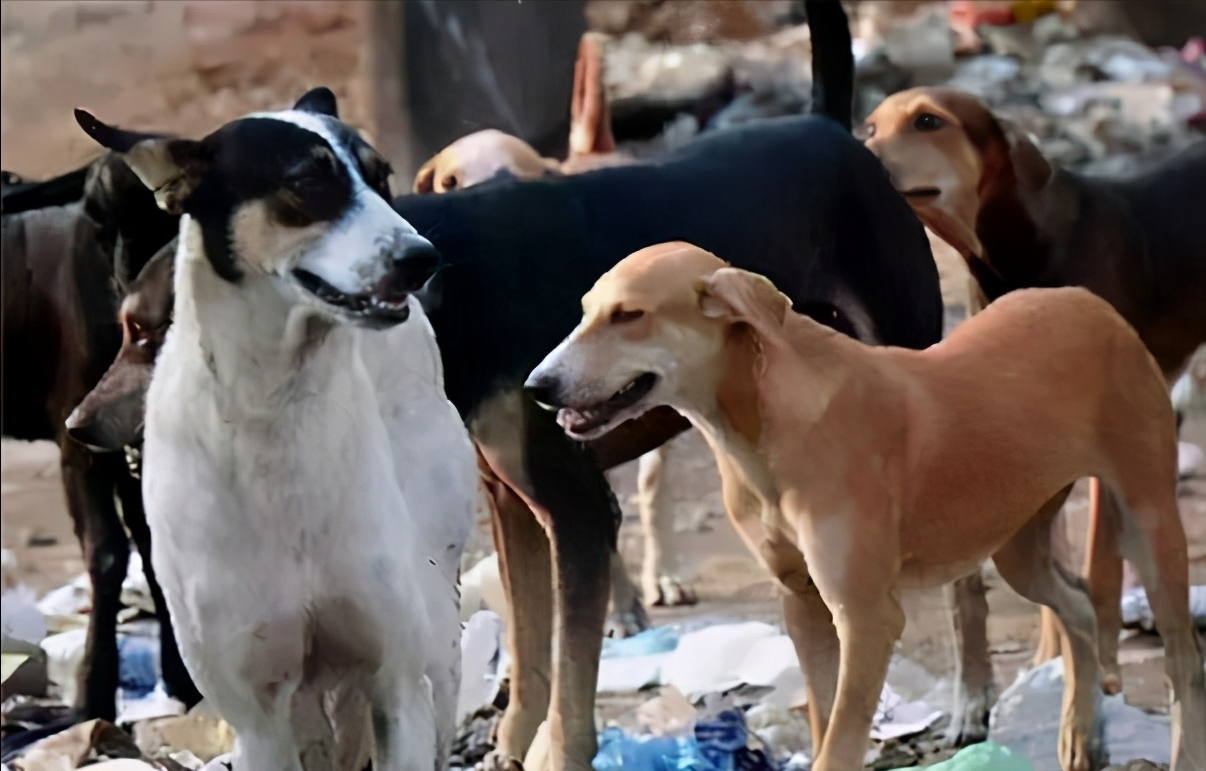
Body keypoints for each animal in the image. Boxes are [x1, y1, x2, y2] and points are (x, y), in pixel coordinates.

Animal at [74, 87, 479, 767]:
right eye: (306, 181)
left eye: (382, 179)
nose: (423, 257)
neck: (278, 408)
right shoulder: (258, 717)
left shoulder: (396, 688)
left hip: (435, 637)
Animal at [530, 241, 1206, 771]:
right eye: (587, 312)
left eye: (630, 316)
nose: (538, 387)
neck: (764, 426)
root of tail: (1088, 302)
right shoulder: (801, 602)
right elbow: (825, 716)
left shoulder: (867, 616)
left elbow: (839, 742)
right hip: (1017, 541)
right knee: (1080, 606)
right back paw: (1084, 732)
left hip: (1150, 519)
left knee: (1182, 661)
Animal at [863, 87, 1206, 690]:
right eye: (871, 127)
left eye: (928, 121)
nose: (860, 154)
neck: (1015, 249)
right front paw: (1057, 657)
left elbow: (1097, 565)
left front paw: (1100, 663)